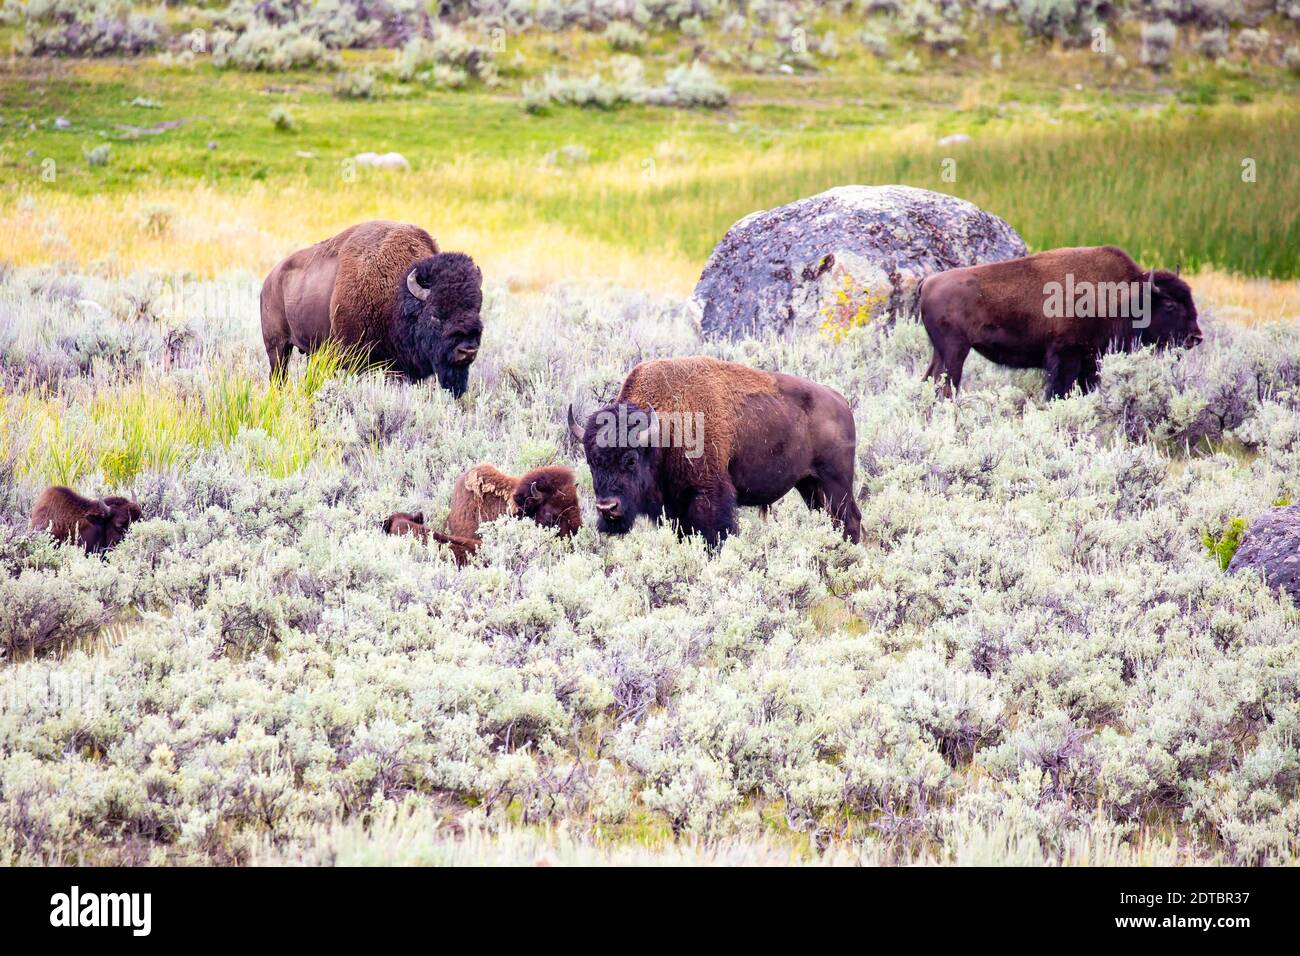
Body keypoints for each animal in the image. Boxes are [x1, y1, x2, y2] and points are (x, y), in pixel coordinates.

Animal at [261, 218, 486, 395]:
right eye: (435, 315)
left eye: (476, 310)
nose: (467, 350)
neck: (398, 293)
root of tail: (270, 279)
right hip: (277, 347)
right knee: (278, 376)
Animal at [920, 247, 1201, 400]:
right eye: (1170, 305)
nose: (1196, 337)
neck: (1124, 295)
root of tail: (928, 283)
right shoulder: (1067, 356)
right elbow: (1059, 392)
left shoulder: (1090, 362)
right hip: (956, 351)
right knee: (946, 387)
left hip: (940, 352)